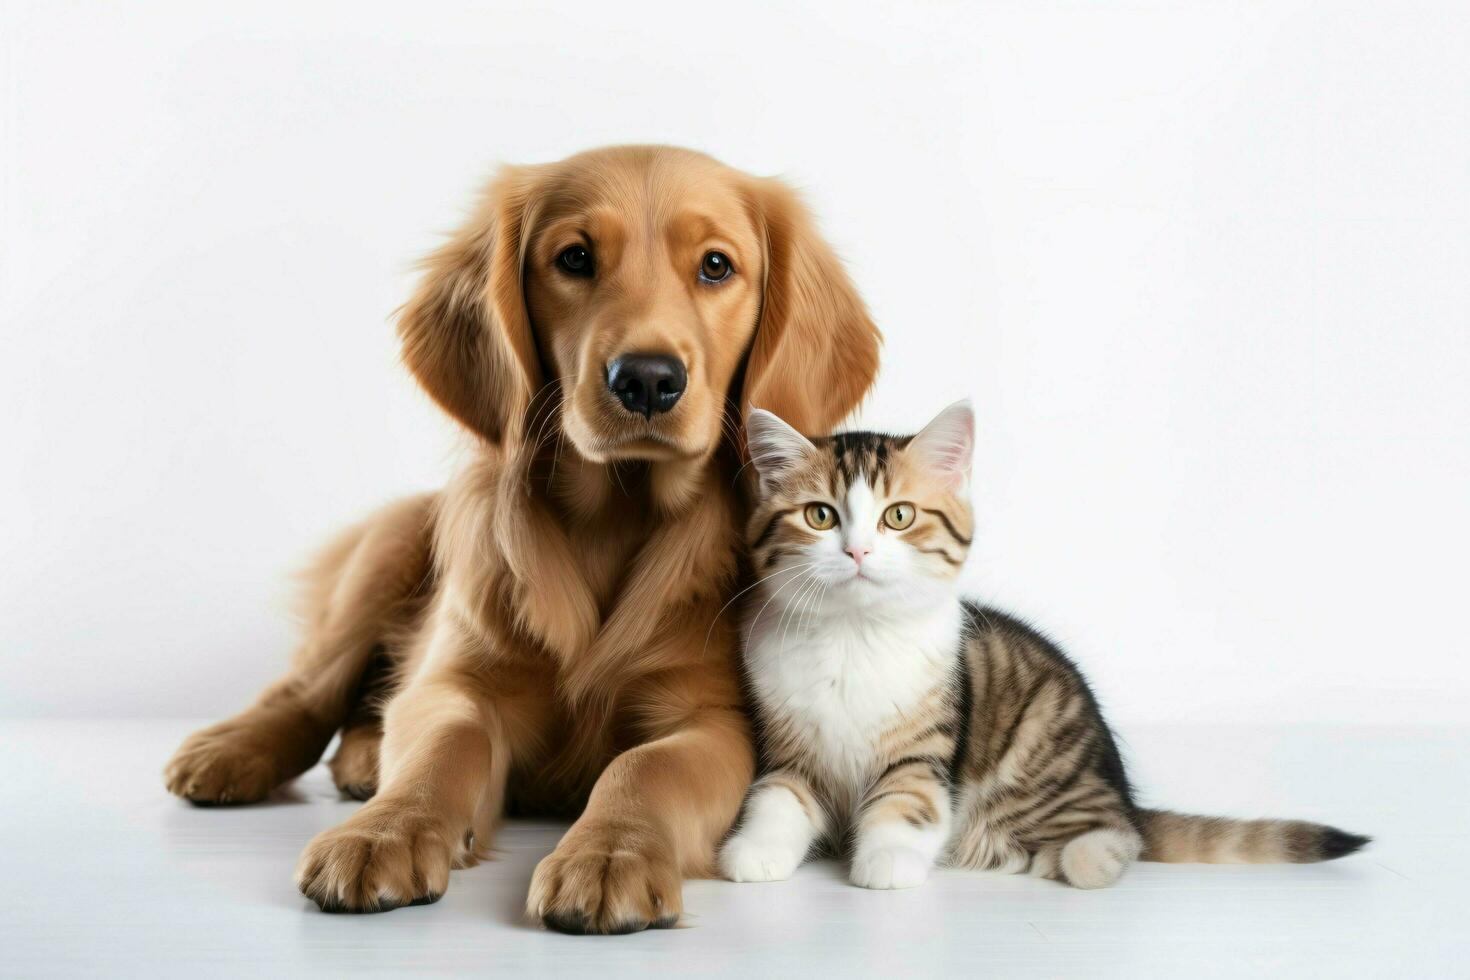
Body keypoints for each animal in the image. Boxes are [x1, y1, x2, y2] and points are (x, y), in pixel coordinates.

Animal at [163, 145, 870, 934]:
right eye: (574, 258)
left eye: (717, 266)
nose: (647, 379)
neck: (615, 518)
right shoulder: (461, 682)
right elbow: (444, 745)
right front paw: (385, 832)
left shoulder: (712, 721)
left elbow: (643, 767)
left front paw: (610, 854)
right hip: (389, 547)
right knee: (308, 690)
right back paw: (235, 752)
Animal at [723, 402, 1364, 893]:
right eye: (820, 516)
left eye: (898, 516)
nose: (856, 552)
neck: (852, 633)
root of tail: (1121, 791)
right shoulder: (793, 749)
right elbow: (777, 799)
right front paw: (754, 852)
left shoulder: (925, 747)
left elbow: (908, 802)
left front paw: (887, 862)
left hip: (1047, 767)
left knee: (1117, 838)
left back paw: (1091, 855)